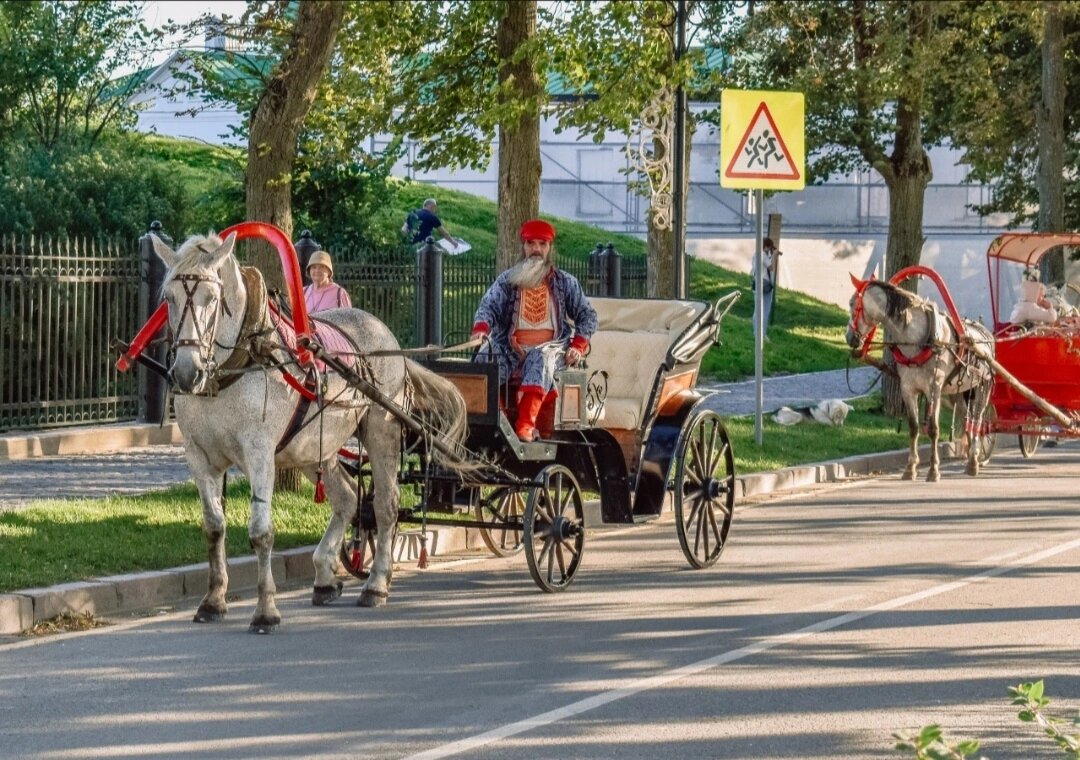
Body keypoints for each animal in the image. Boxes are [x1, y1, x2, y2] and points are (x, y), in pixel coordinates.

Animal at [151, 229, 468, 630]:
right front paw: (213, 600)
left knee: (385, 506)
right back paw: (324, 577)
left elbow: (261, 532)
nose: (185, 372)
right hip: (316, 448)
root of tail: (389, 339)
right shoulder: (198, 455)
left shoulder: (259, 453)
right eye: (168, 297)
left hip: (381, 432)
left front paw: (266, 609)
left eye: (212, 297)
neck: (238, 360)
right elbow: (213, 527)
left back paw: (376, 584)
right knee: (347, 498)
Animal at [842, 278, 993, 481]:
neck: (917, 339)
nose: (849, 337)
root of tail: (986, 332)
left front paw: (933, 470)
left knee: (977, 420)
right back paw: (970, 459)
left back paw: (974, 461)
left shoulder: (934, 389)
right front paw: (910, 468)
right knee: (966, 418)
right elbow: (913, 427)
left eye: (852, 303)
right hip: (958, 393)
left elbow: (934, 428)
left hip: (983, 387)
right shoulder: (908, 389)